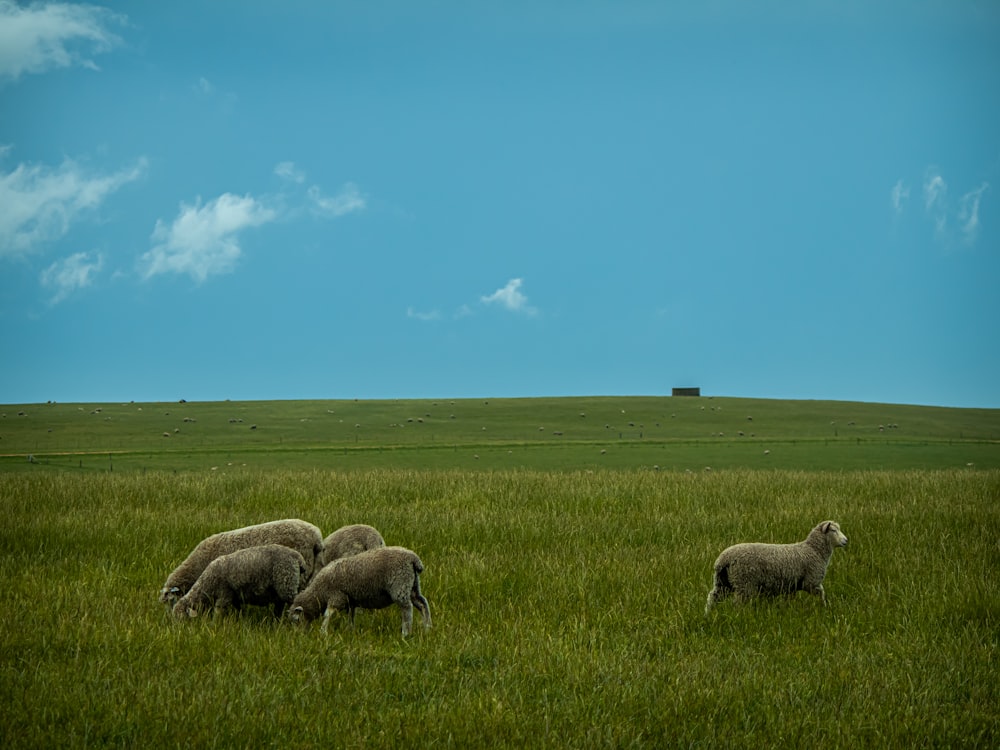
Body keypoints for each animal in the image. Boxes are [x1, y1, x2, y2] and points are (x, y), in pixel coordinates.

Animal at [172, 544, 306, 620]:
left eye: (181, 618)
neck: (207, 585)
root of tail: (298, 557)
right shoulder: (234, 596)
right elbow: (239, 610)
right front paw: (241, 619)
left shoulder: (224, 594)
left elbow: (218, 612)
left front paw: (215, 624)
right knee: (280, 604)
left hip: (286, 582)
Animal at [288, 548, 432, 636]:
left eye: (296, 620)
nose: (298, 635)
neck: (319, 592)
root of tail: (413, 559)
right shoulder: (350, 599)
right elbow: (351, 615)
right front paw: (350, 630)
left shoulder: (337, 596)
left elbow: (328, 614)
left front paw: (323, 631)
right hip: (412, 585)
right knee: (422, 604)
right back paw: (427, 627)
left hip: (400, 585)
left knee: (407, 608)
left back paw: (406, 632)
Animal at [704, 520, 852, 612]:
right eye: (833, 530)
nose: (845, 541)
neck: (814, 550)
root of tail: (723, 559)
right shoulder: (811, 581)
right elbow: (822, 593)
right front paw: (825, 607)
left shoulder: (791, 584)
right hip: (744, 583)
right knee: (737, 603)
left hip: (723, 582)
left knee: (712, 597)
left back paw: (708, 614)